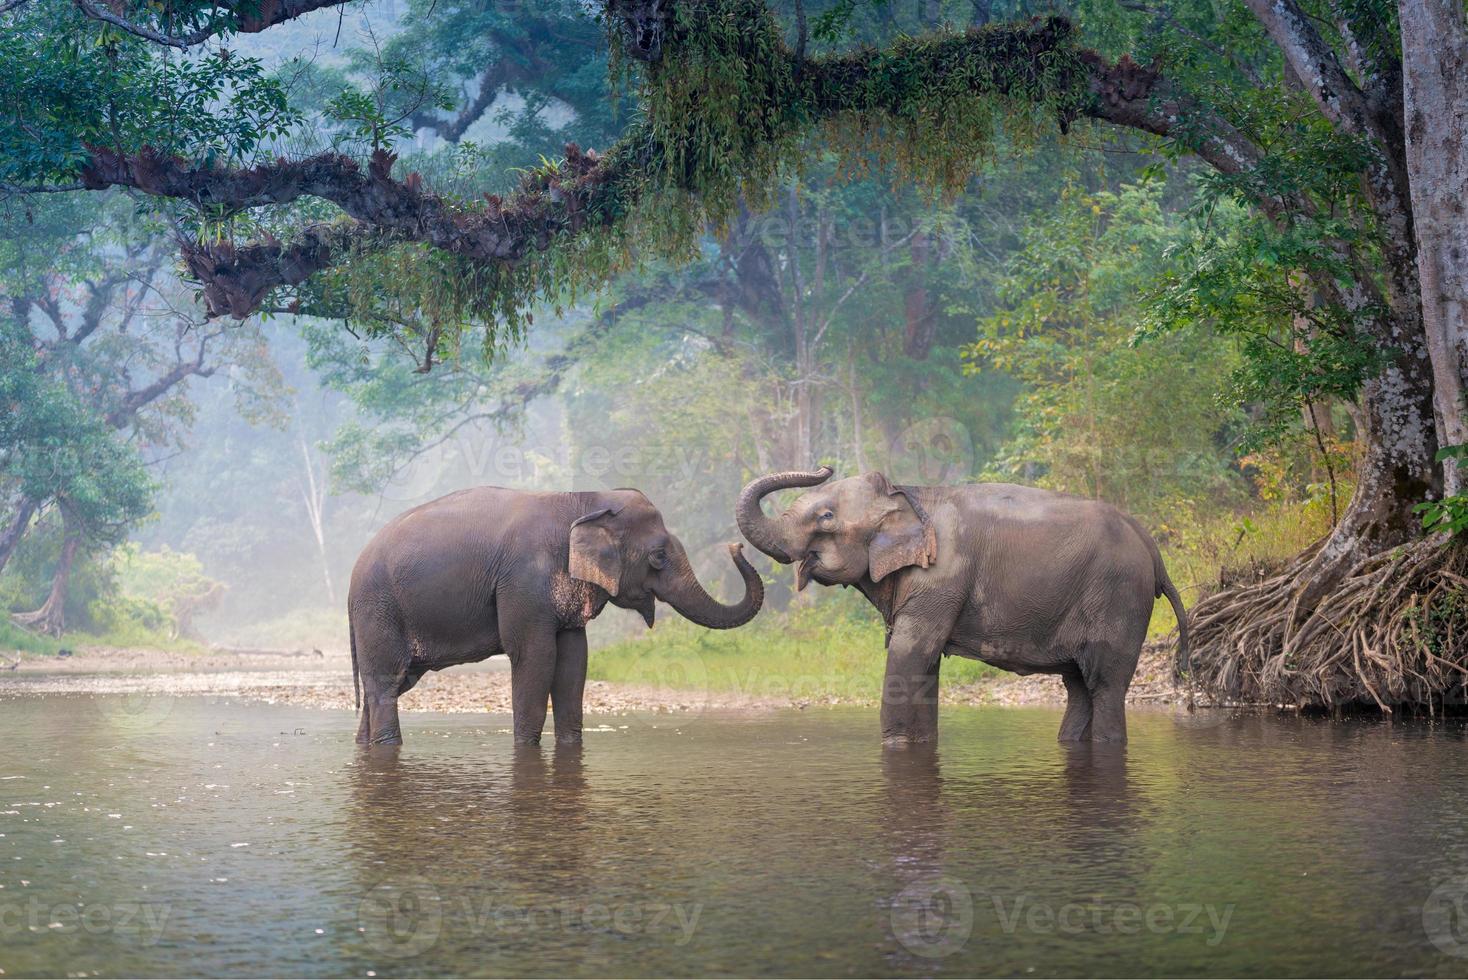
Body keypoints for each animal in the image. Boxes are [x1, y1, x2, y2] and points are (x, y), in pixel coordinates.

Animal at [349, 487, 763, 745]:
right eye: (658, 556)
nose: (736, 546)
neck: (584, 499)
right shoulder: (524, 580)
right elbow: (535, 656)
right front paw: (526, 748)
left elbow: (573, 660)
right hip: (379, 610)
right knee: (386, 683)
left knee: (389, 686)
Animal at [739, 466, 1186, 742]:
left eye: (826, 516)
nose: (824, 466)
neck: (910, 495)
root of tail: (1152, 549)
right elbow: (924, 666)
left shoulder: (941, 578)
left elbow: (909, 656)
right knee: (1078, 686)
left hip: (1119, 598)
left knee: (1105, 685)